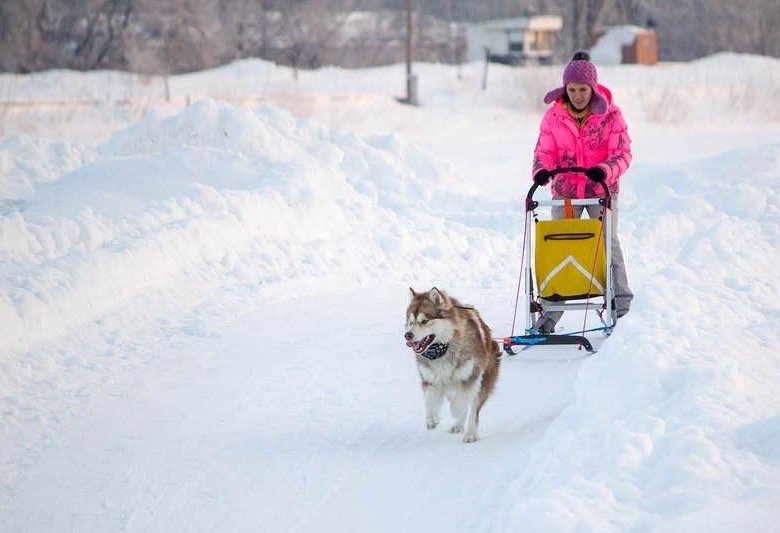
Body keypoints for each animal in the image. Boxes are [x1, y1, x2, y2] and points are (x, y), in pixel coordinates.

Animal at [406, 286, 502, 440]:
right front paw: (432, 419)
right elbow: (429, 401)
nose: (407, 335)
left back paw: (470, 433)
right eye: (410, 321)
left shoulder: (470, 377)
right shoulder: (429, 379)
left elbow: (461, 404)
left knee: (472, 409)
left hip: (482, 382)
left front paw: (456, 413)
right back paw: (458, 425)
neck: (443, 349)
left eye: (424, 321)